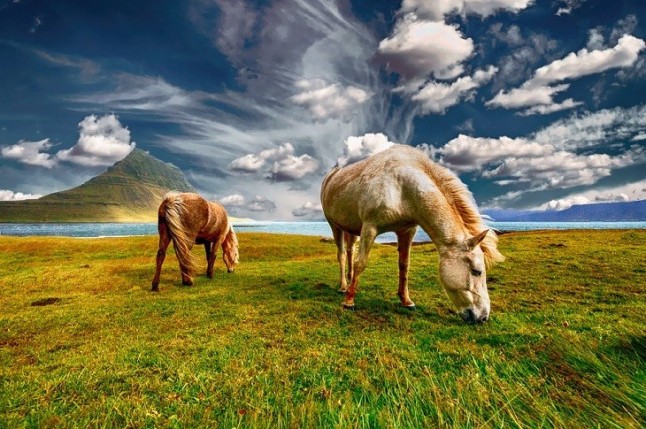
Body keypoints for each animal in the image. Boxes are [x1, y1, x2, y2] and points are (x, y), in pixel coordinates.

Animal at [320, 144, 504, 323]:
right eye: (476, 271)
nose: (483, 317)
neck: (401, 186)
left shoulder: (407, 231)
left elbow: (404, 266)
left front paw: (406, 300)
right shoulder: (369, 228)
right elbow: (361, 263)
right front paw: (349, 301)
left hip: (351, 229)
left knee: (350, 251)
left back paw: (349, 281)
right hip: (335, 226)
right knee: (342, 255)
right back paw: (343, 287)